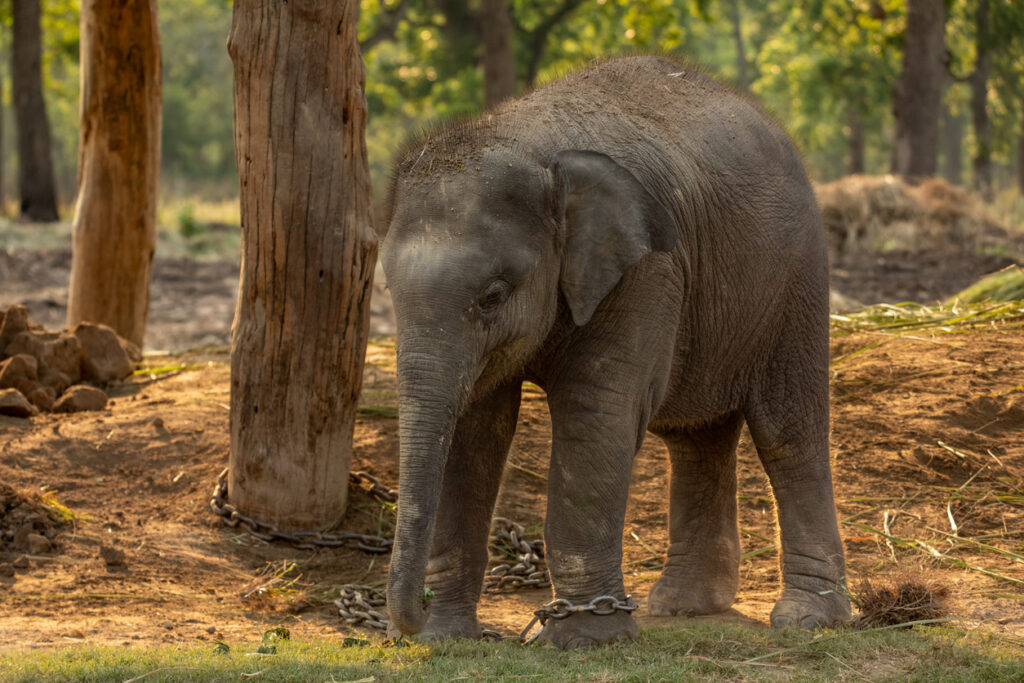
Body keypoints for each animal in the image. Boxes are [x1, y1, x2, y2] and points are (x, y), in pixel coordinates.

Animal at [379, 55, 850, 649]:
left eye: (493, 295)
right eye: (388, 292)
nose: (411, 618)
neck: (530, 143)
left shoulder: (646, 270)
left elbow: (593, 413)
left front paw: (585, 642)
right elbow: (472, 430)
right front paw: (448, 638)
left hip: (796, 277)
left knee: (787, 433)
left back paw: (808, 619)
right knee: (695, 437)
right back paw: (683, 606)